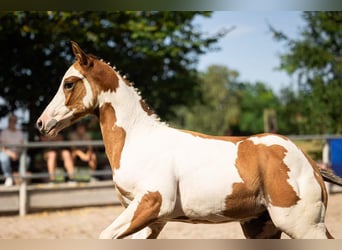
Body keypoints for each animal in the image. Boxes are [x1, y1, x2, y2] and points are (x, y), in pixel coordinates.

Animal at [37, 42, 340, 239]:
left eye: (69, 83)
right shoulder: (152, 221)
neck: (138, 141)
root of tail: (309, 161)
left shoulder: (153, 203)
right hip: (261, 227)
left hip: (302, 225)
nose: (42, 123)